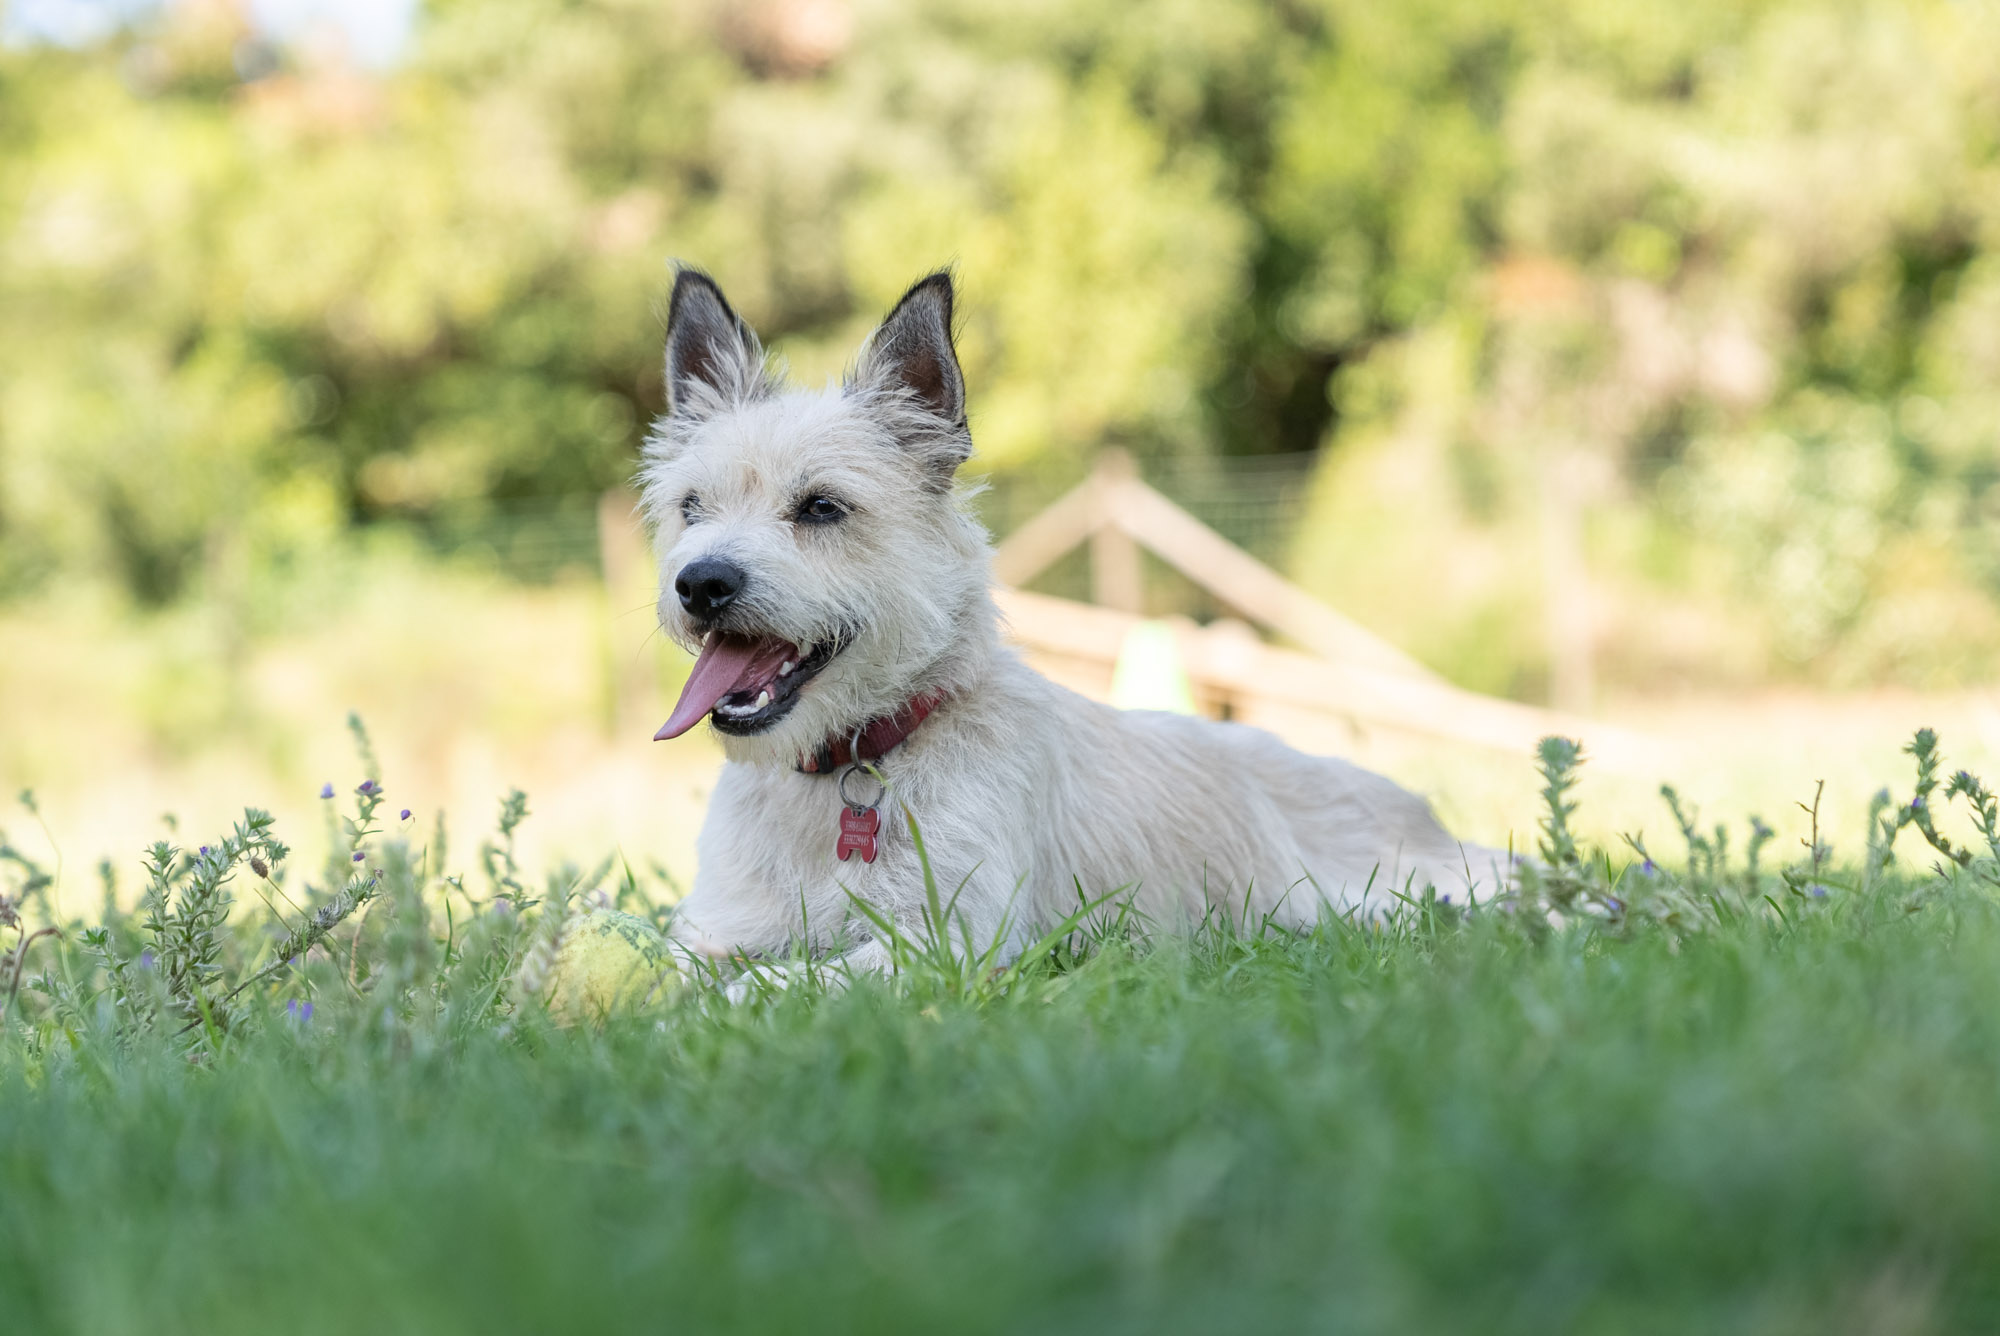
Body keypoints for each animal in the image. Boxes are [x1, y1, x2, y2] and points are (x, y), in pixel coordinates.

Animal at [648, 268, 1504, 980]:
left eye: (821, 506)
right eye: (692, 507)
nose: (701, 583)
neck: (849, 772)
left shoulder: (947, 939)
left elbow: (780, 984)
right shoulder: (718, 928)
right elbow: (669, 970)